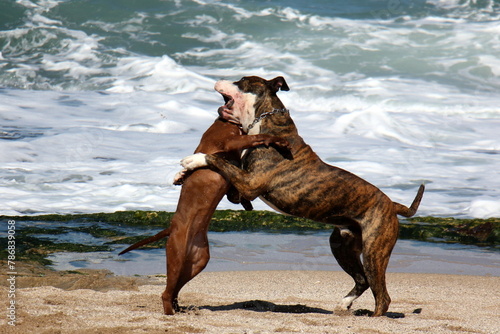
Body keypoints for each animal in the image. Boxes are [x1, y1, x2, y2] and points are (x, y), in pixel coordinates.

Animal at [118, 116, 290, 314]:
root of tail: (171, 228)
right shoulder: (230, 141)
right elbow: (257, 137)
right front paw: (279, 140)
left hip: (197, 262)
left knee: (175, 288)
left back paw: (179, 308)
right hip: (177, 256)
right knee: (166, 293)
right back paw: (170, 312)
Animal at [182, 75, 424, 316]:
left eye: (242, 80)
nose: (218, 79)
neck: (263, 121)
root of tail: (392, 204)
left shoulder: (251, 183)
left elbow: (217, 158)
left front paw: (194, 159)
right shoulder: (243, 188)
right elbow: (226, 168)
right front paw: (182, 173)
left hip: (374, 251)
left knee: (382, 296)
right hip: (341, 246)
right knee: (362, 280)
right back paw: (344, 305)